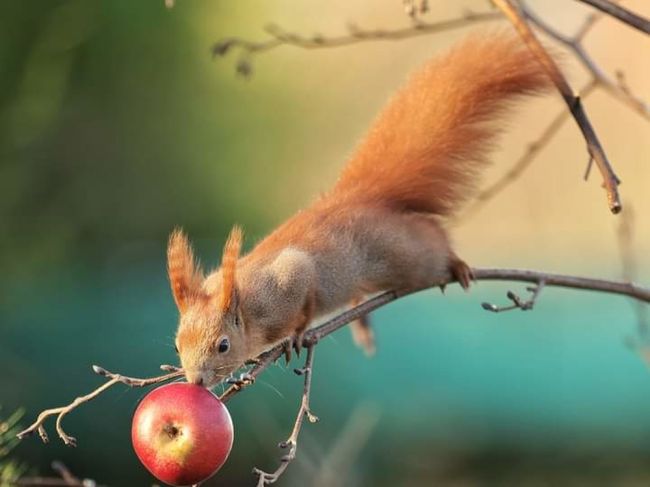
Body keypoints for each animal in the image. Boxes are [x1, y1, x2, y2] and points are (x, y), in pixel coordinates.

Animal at [168, 32, 552, 386]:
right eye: (177, 345)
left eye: (223, 345)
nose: (195, 381)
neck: (246, 306)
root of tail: (361, 197)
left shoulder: (291, 279)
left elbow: (306, 304)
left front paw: (295, 337)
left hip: (404, 253)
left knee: (432, 238)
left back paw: (456, 265)